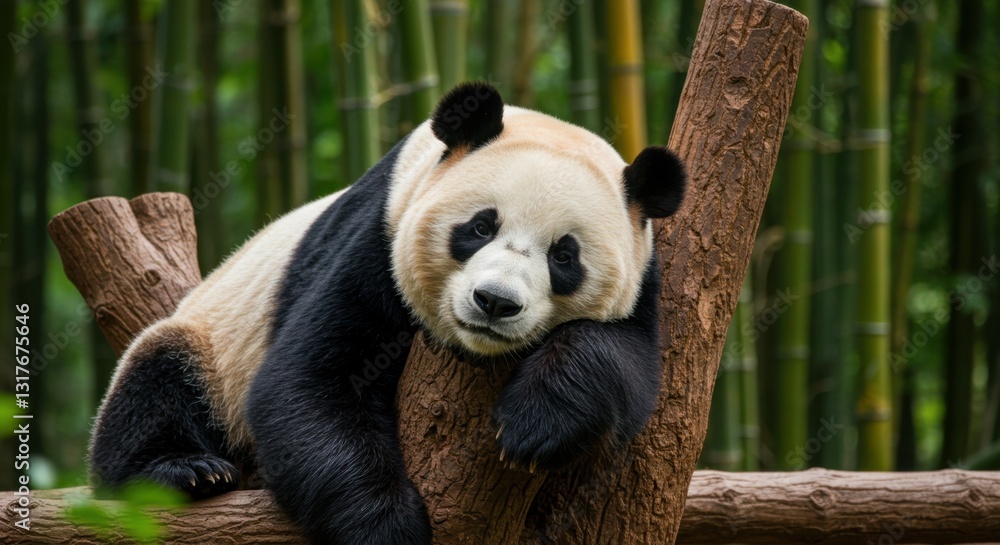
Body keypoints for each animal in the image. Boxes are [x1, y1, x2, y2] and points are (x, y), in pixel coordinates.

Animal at [89, 82, 686, 545]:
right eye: (480, 226)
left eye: (564, 256)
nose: (495, 302)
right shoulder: (377, 237)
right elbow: (307, 382)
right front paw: (389, 528)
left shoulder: (644, 281)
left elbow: (628, 366)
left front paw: (535, 424)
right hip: (212, 340)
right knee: (157, 381)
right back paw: (187, 472)